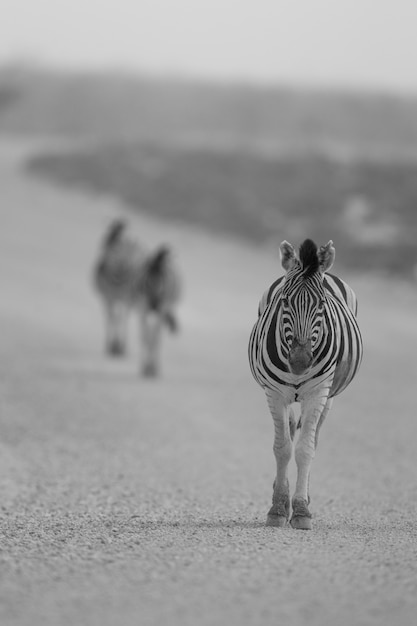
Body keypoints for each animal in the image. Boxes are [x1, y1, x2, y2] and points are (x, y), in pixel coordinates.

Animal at [93, 218, 180, 376]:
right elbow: (121, 323)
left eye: (108, 239)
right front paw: (114, 347)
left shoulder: (152, 307)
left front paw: (152, 369)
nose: (154, 304)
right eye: (145, 282)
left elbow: (153, 337)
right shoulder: (112, 299)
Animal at [247, 238, 360, 528]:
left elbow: (305, 450)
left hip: (329, 397)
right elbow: (282, 448)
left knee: (313, 438)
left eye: (321, 303)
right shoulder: (275, 394)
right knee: (288, 430)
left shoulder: (318, 393)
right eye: (285, 301)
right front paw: (278, 508)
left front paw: (300, 510)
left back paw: (303, 497)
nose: (300, 362)